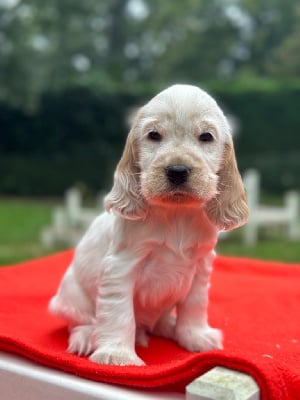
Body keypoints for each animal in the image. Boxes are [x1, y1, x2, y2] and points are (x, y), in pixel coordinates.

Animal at [49, 84, 250, 366]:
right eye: (154, 135)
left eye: (206, 137)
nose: (177, 170)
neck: (176, 214)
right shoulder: (121, 266)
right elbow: (119, 312)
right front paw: (117, 354)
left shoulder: (201, 265)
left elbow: (195, 305)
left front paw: (195, 337)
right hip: (70, 297)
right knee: (80, 321)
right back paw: (87, 337)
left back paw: (169, 326)